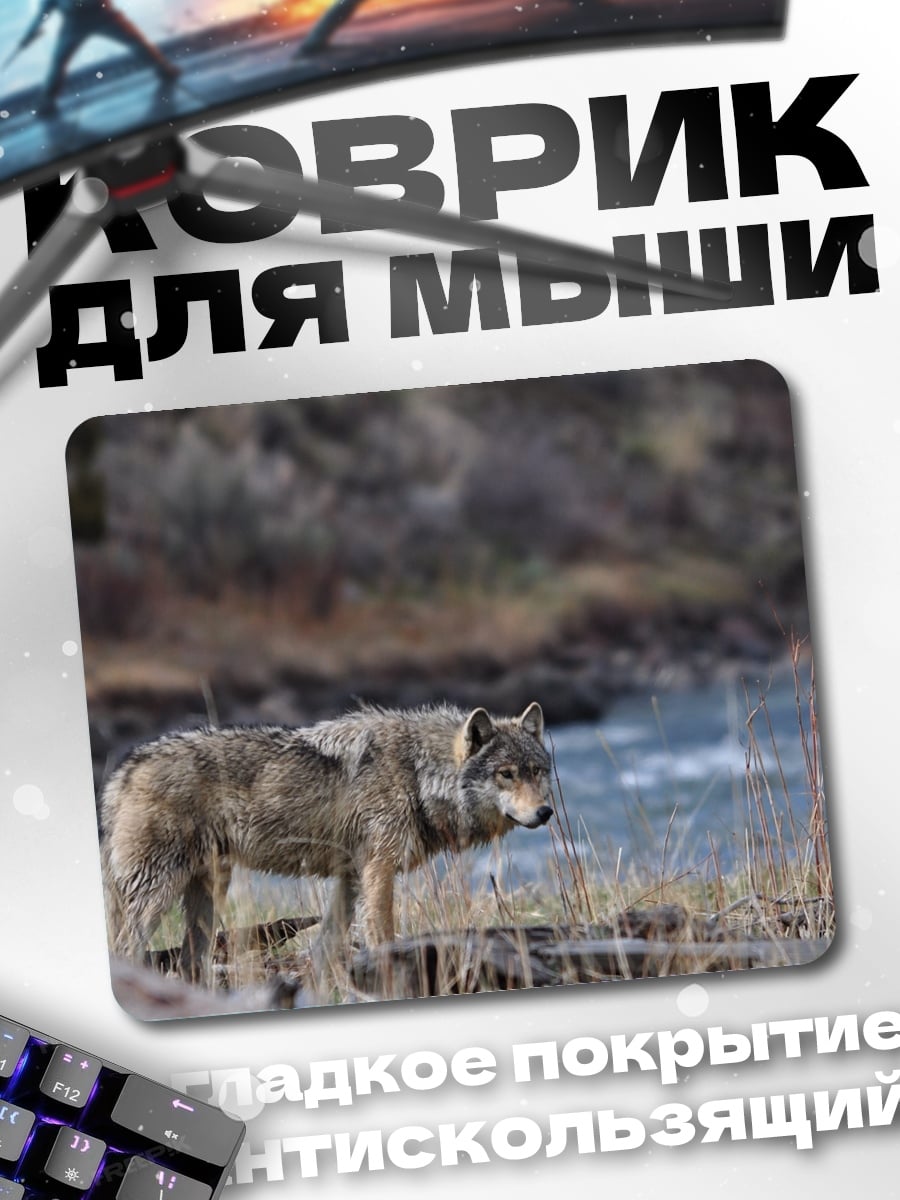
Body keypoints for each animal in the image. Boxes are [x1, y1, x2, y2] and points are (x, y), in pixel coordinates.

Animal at [100, 701, 554, 984]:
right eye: (506, 774)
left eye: (537, 771)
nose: (546, 812)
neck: (418, 774)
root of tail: (123, 771)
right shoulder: (378, 871)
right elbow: (383, 937)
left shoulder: (350, 878)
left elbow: (326, 948)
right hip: (157, 894)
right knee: (124, 951)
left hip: (206, 894)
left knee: (188, 963)